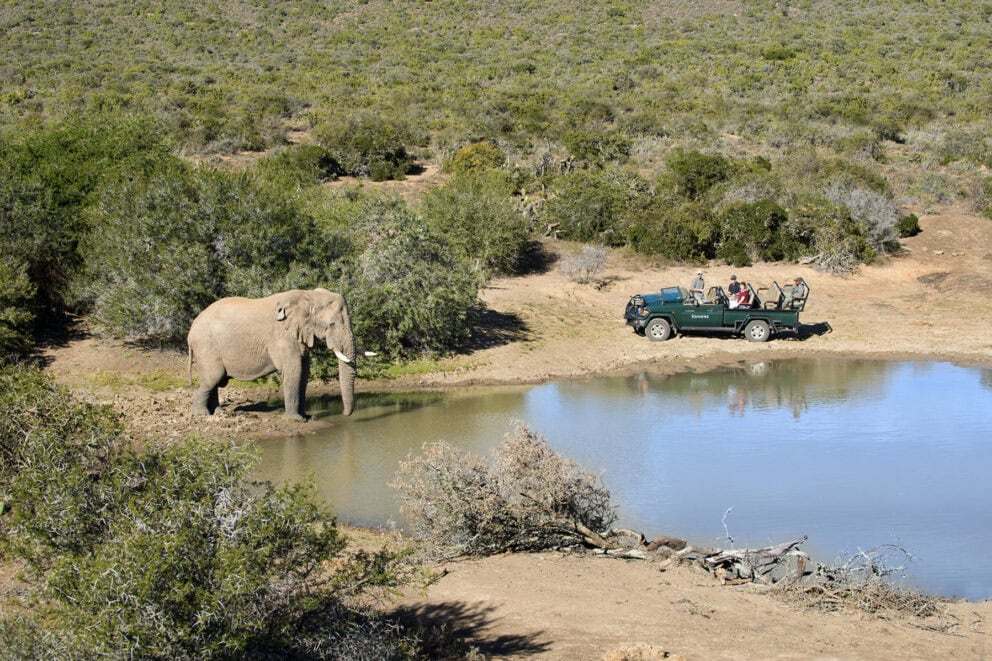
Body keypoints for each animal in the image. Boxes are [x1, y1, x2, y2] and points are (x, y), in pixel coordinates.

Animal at [188, 288, 356, 420]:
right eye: (332, 324)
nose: (344, 414)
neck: (307, 295)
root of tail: (191, 330)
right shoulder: (282, 336)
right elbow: (294, 370)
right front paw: (295, 420)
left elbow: (304, 372)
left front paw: (307, 417)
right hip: (206, 346)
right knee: (212, 378)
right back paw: (201, 414)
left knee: (214, 382)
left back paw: (217, 412)